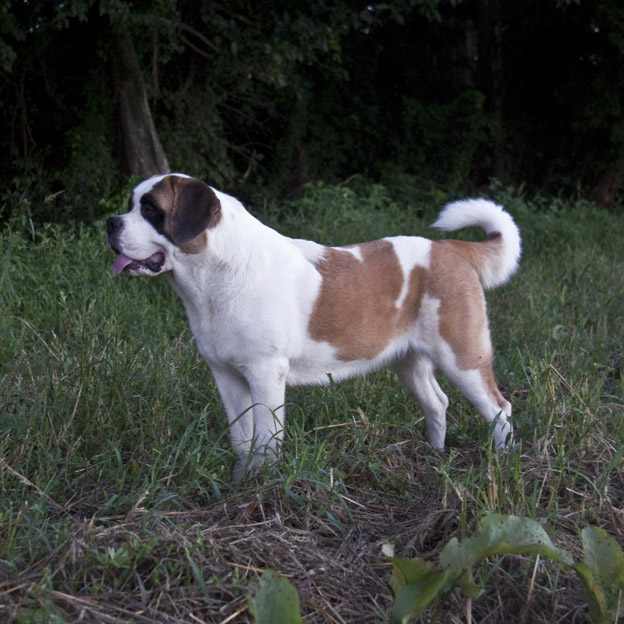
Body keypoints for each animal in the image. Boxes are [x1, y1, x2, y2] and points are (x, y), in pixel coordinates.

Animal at [107, 173, 520, 480]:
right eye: (131, 204)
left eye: (150, 209)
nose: (111, 223)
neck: (214, 274)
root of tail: (450, 247)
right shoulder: (225, 375)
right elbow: (241, 436)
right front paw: (240, 480)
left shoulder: (265, 373)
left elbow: (266, 437)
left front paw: (261, 486)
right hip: (408, 362)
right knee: (437, 402)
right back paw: (434, 454)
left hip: (462, 357)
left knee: (499, 408)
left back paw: (500, 464)